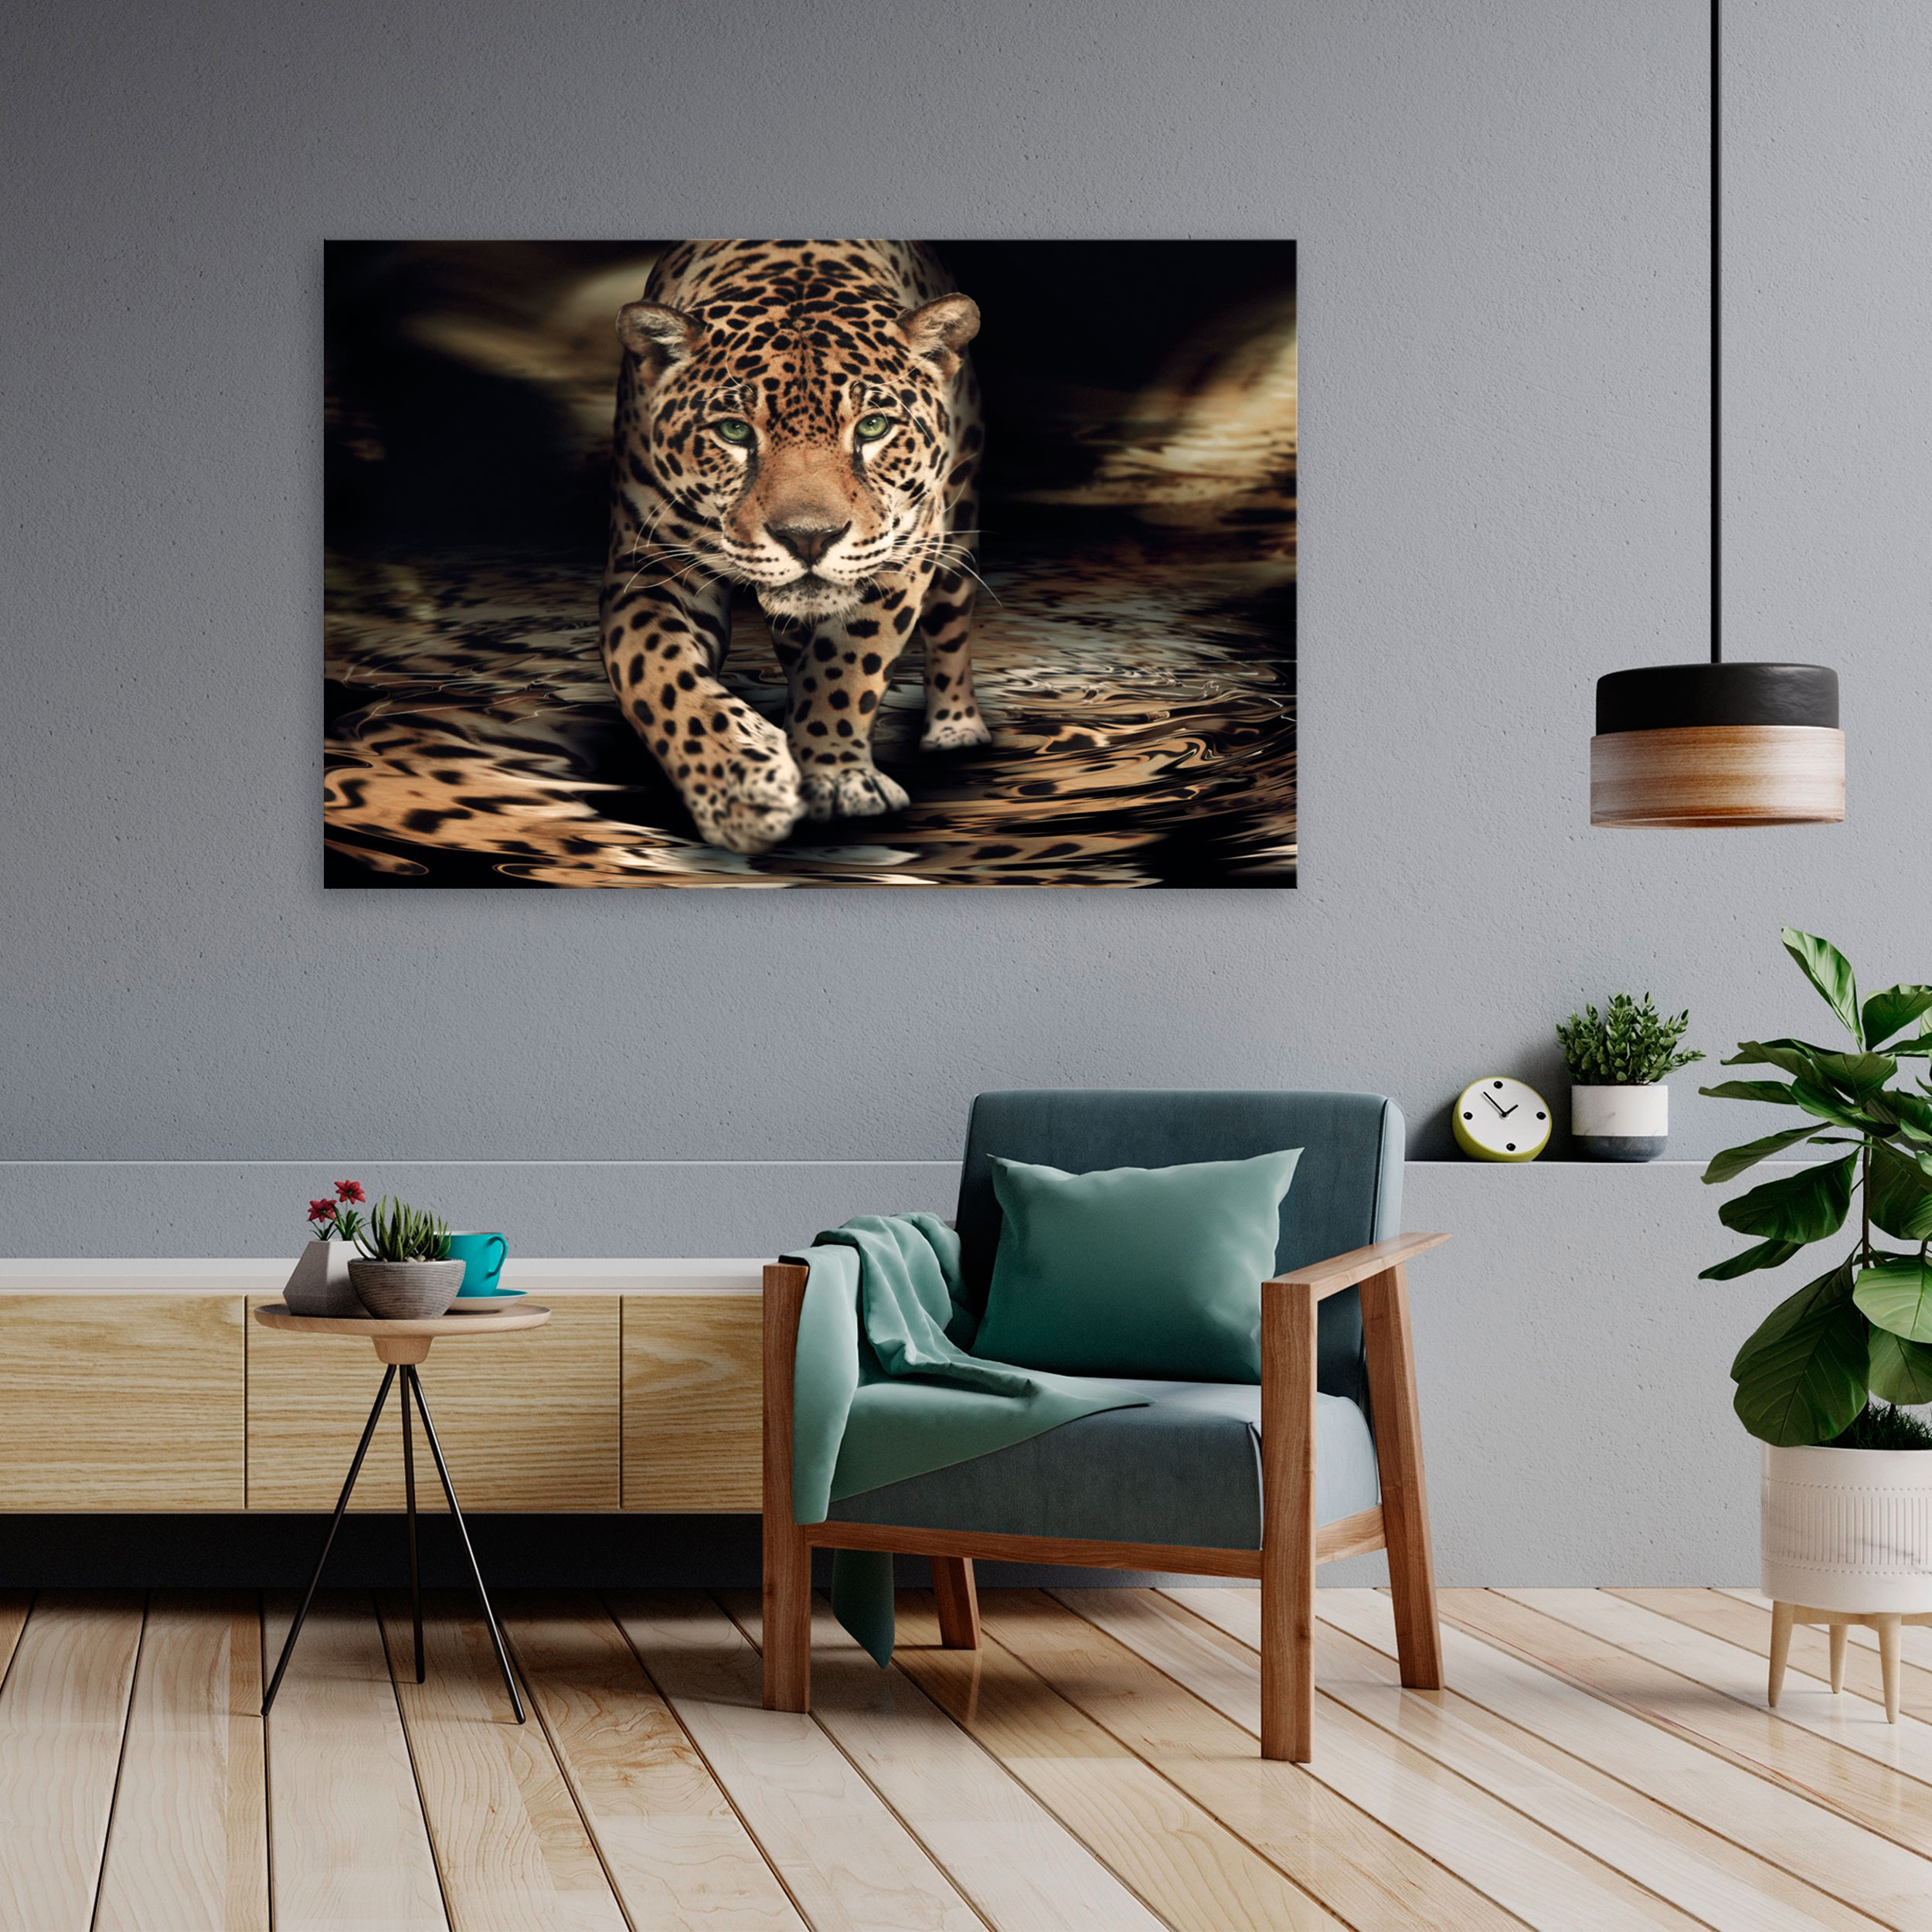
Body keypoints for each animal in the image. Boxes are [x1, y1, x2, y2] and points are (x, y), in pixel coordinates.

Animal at [599, 240, 992, 854]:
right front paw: (740, 788)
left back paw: (956, 728)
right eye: (734, 431)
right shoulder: (651, 564)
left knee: (951, 621)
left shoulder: (902, 551)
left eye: (873, 426)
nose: (809, 537)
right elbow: (656, 672)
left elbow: (848, 665)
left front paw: (834, 776)